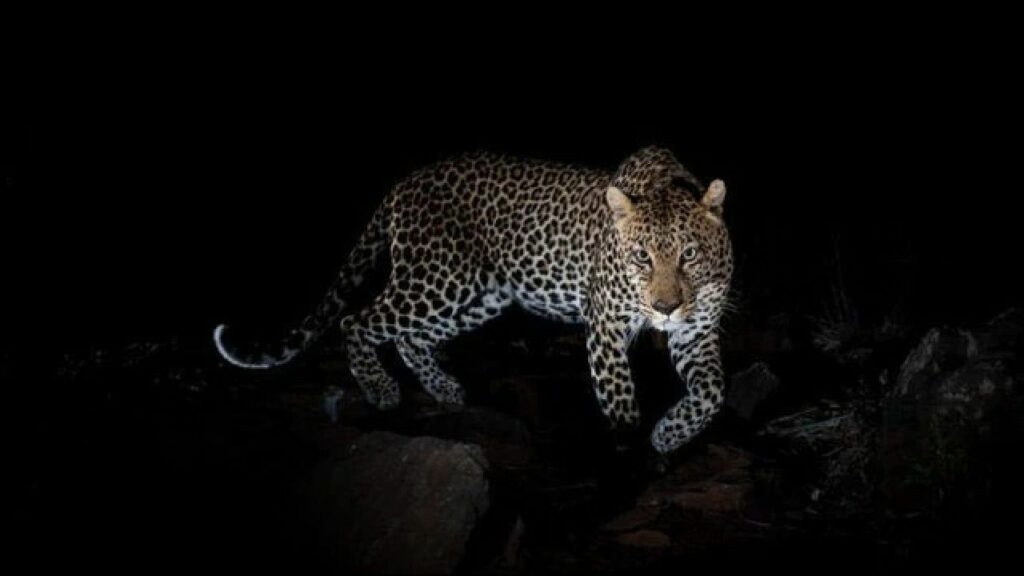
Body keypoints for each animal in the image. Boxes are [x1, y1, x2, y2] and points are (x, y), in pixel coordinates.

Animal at [213, 146, 733, 453]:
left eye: (688, 254)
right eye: (641, 257)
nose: (665, 308)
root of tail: (402, 184)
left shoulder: (696, 329)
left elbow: (711, 392)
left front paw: (669, 434)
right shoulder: (605, 324)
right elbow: (621, 400)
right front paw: (629, 446)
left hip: (479, 296)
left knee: (410, 337)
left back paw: (445, 388)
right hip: (437, 279)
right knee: (357, 321)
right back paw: (382, 390)